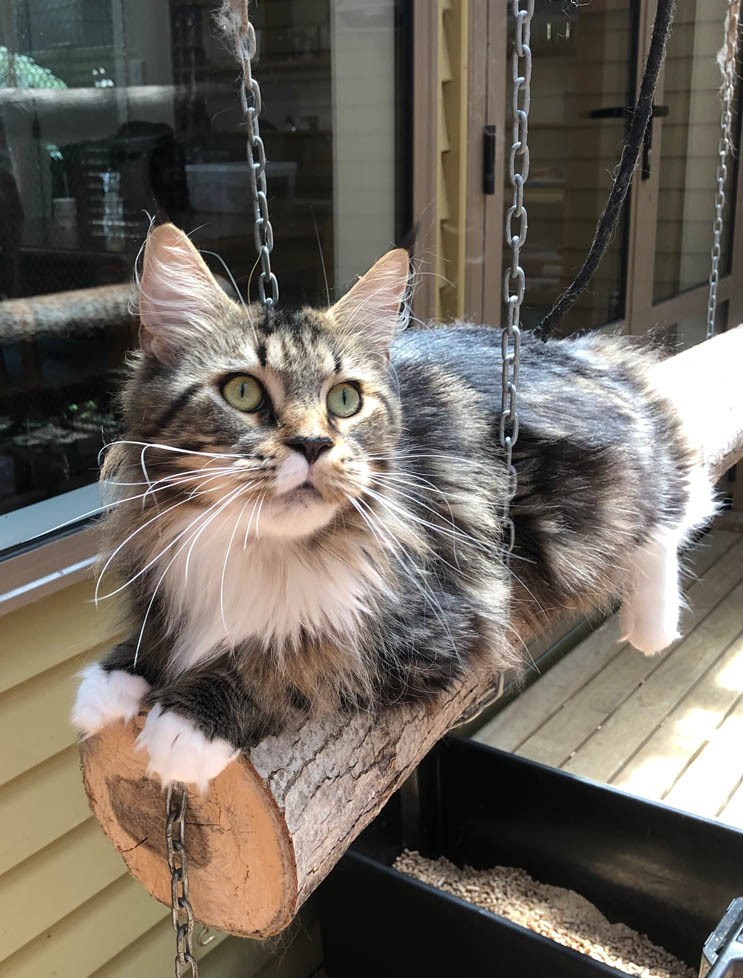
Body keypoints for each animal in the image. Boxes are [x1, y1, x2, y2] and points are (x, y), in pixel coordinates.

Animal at [71, 223, 716, 793]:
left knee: (680, 506)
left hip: (614, 488)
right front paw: (113, 681)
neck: (263, 550)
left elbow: (296, 661)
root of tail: (566, 347)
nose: (313, 444)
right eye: (243, 392)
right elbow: (157, 635)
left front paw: (187, 724)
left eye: (345, 400)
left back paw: (652, 625)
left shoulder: (438, 627)